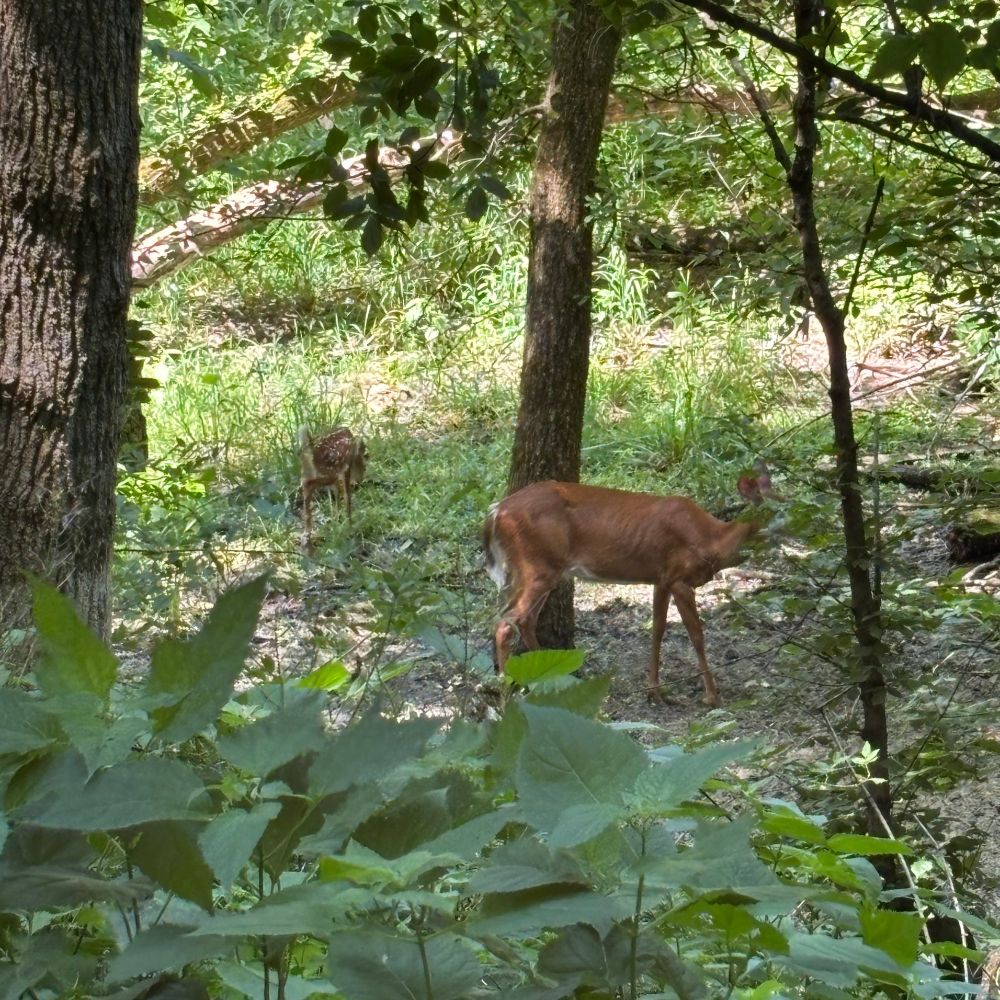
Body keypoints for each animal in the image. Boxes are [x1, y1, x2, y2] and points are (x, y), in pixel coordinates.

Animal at [482, 462, 778, 706]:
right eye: (775, 507)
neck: (712, 541)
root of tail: (495, 512)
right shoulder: (680, 578)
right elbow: (697, 635)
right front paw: (712, 696)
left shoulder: (662, 578)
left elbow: (657, 630)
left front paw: (655, 691)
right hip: (537, 564)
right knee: (506, 622)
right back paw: (507, 693)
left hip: (543, 569)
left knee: (524, 620)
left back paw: (550, 682)